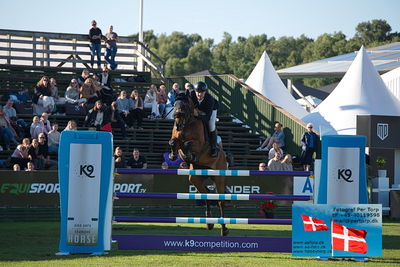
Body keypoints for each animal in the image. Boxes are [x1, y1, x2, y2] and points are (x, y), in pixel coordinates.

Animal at [168, 92, 230, 237]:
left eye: (184, 106)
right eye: (174, 104)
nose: (177, 124)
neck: (187, 123)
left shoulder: (198, 143)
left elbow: (187, 144)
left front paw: (189, 156)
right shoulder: (176, 138)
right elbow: (173, 142)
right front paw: (173, 155)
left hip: (219, 177)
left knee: (220, 201)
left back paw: (224, 228)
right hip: (195, 177)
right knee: (206, 195)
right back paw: (209, 223)